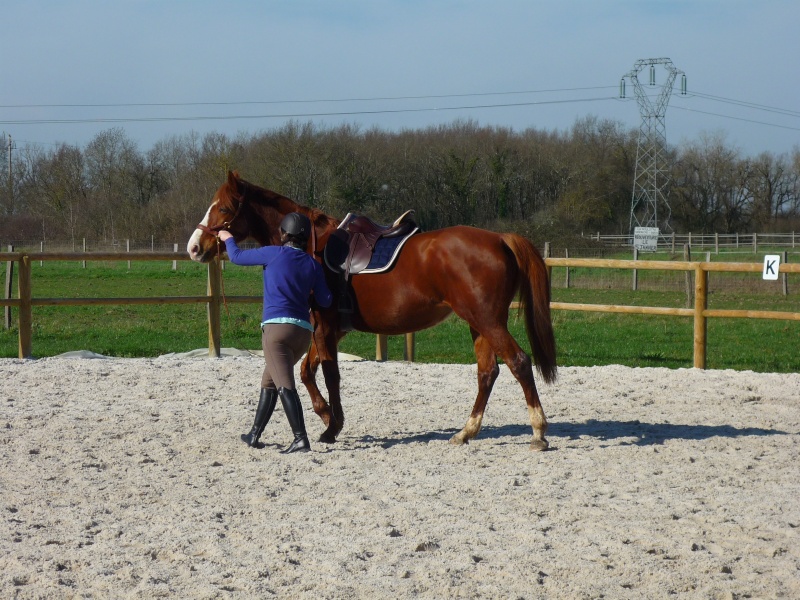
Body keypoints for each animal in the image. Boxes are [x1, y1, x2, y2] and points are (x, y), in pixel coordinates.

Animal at [188, 171, 556, 448]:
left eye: (224, 209)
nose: (194, 247)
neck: (311, 246)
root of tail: (500, 238)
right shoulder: (327, 329)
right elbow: (308, 371)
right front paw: (326, 416)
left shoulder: (324, 327)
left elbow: (329, 374)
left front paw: (331, 426)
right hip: (478, 323)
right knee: (487, 372)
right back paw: (466, 431)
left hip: (488, 321)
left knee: (518, 362)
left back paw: (538, 431)